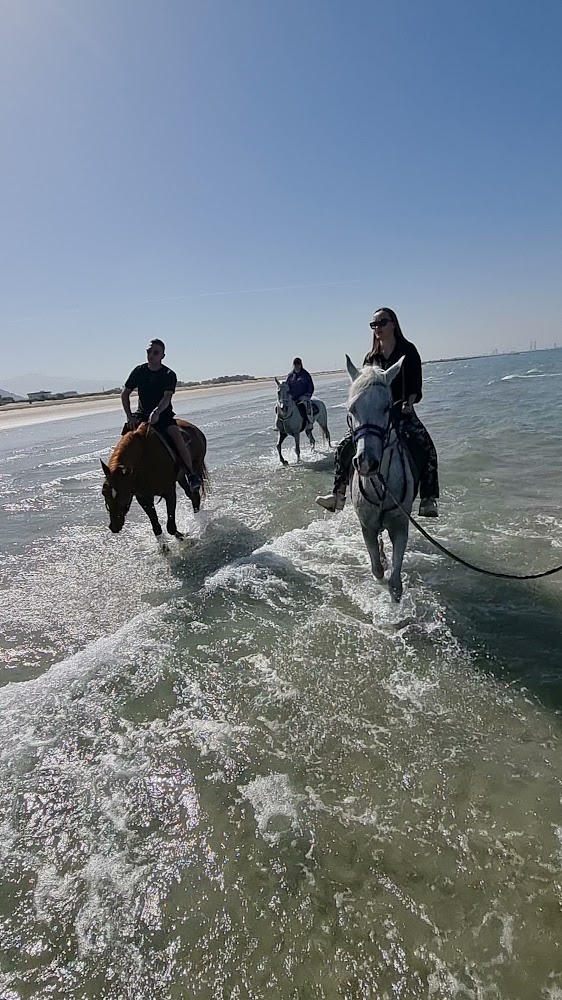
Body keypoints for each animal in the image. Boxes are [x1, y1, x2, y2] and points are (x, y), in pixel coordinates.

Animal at [345, 354, 416, 602]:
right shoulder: (366, 526)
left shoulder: (400, 525)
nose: (367, 462)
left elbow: (395, 581)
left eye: (387, 407)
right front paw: (381, 569)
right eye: (352, 409)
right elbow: (377, 568)